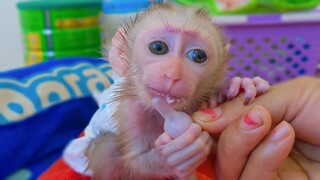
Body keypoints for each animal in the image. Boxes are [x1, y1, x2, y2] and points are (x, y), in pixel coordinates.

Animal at [63, 2, 268, 179]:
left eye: (198, 55)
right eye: (158, 47)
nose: (173, 74)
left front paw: (236, 85)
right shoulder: (131, 111)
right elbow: (134, 161)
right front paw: (174, 157)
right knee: (106, 147)